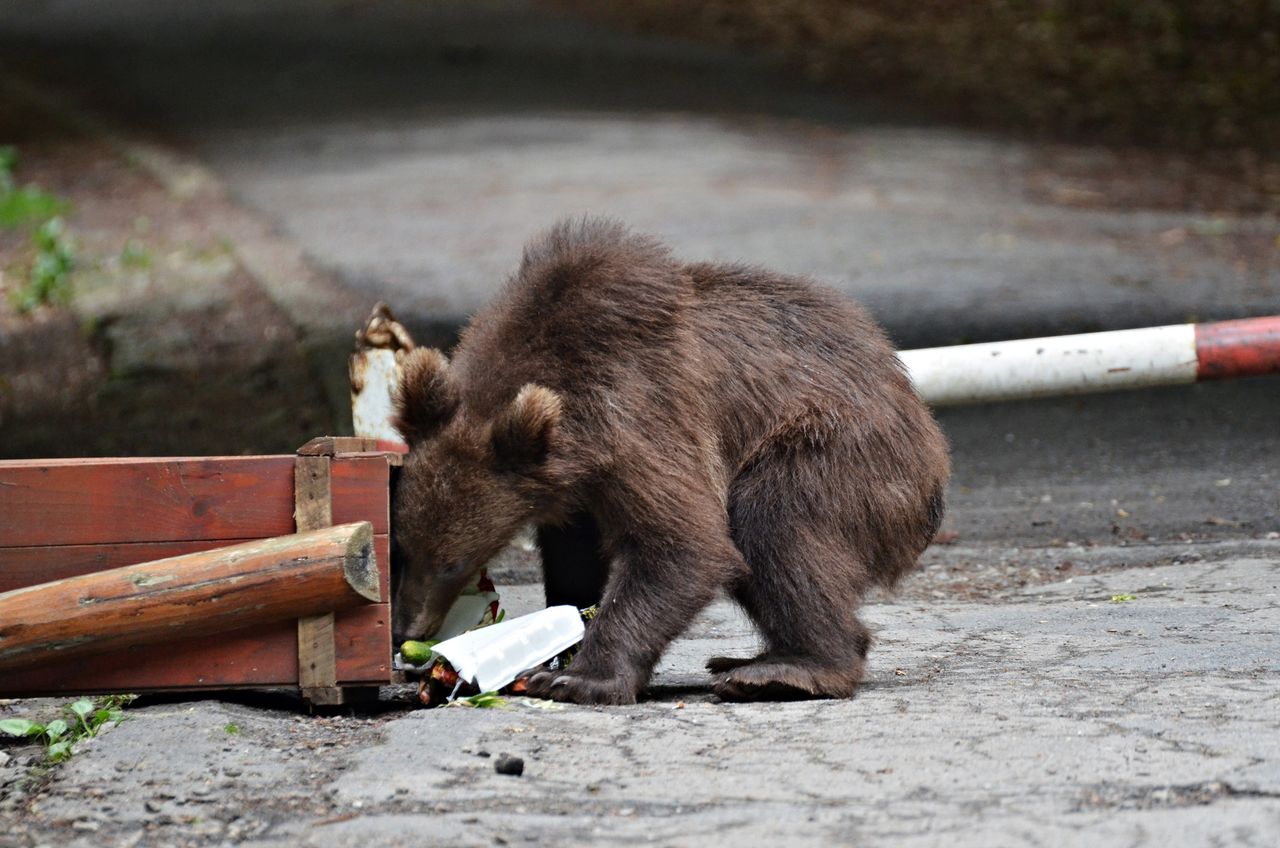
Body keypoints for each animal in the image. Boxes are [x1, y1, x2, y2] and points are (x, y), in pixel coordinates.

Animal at [389, 217, 952, 701]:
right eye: (401, 547)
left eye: (453, 562)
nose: (405, 630)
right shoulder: (574, 487)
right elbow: (574, 557)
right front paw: (559, 641)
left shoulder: (637, 418)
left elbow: (684, 543)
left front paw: (580, 678)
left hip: (842, 450)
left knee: (775, 525)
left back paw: (788, 668)